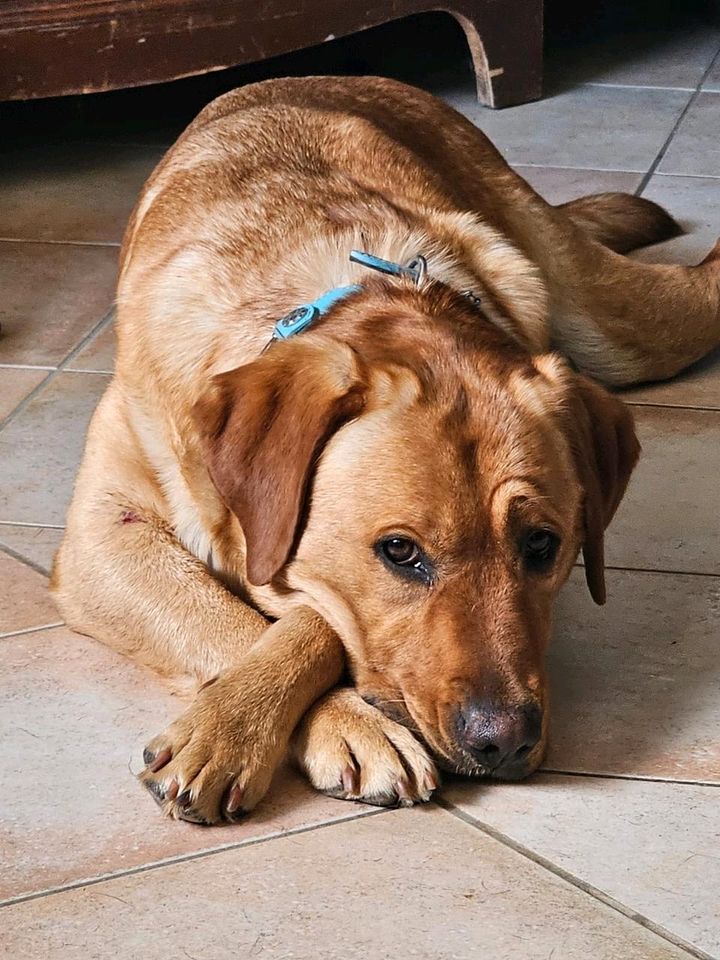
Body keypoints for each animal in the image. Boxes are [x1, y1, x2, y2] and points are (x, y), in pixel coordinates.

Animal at [52, 77, 720, 824]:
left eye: (544, 545)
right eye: (400, 552)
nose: (504, 742)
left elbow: (311, 615)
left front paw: (261, 718)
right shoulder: (104, 535)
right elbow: (239, 618)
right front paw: (275, 725)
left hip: (612, 317)